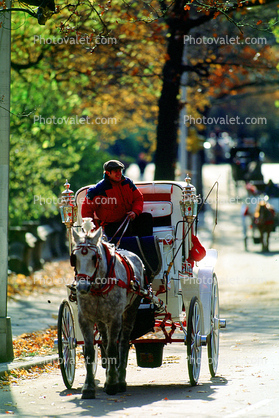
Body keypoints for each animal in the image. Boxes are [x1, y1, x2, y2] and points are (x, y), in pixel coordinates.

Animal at [71, 225, 145, 398]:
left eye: (94, 258)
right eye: (74, 257)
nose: (82, 287)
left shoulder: (115, 318)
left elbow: (112, 349)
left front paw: (112, 382)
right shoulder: (85, 319)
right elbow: (90, 351)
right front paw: (89, 387)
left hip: (130, 310)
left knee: (123, 342)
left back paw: (121, 380)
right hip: (100, 319)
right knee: (104, 341)